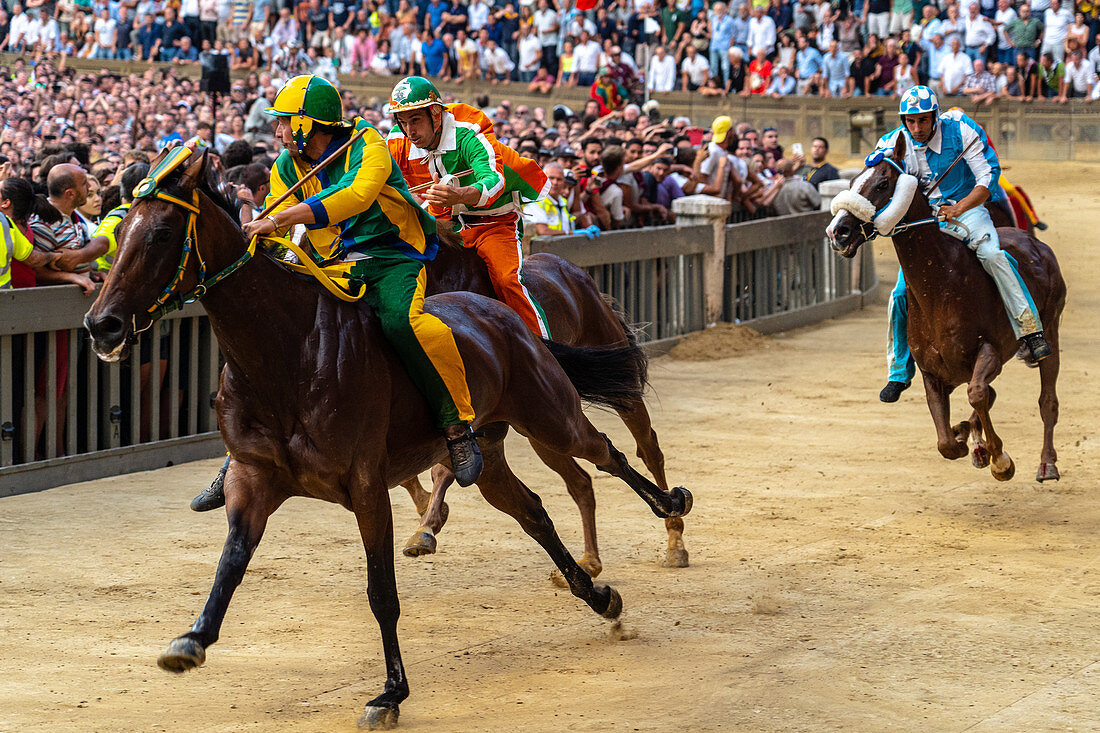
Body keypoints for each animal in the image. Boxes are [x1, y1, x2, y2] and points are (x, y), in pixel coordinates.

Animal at [396, 235, 686, 572]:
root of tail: (576, 272)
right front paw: (427, 519)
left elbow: (445, 469)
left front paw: (429, 523)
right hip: (543, 426)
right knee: (580, 481)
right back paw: (590, 560)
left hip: (613, 379)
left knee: (649, 449)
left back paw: (675, 539)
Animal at [827, 134, 1060, 482]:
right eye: (853, 181)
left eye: (882, 183)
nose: (837, 231)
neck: (942, 283)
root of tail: (1037, 245)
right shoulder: (932, 372)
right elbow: (947, 442)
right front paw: (967, 440)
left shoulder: (989, 352)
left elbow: (977, 394)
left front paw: (1000, 459)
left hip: (1052, 329)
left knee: (1047, 400)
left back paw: (1047, 463)